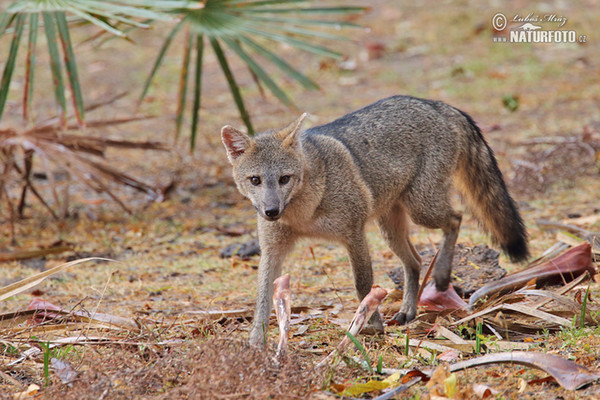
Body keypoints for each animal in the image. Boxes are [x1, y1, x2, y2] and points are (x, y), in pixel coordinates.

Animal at [221, 95, 528, 346]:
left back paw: (441, 275)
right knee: (415, 261)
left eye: (284, 179)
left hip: (422, 210)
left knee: (455, 219)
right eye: (255, 180)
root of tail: (436, 104)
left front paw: (371, 325)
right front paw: (256, 341)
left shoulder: (354, 234)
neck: (304, 215)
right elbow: (262, 296)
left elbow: (364, 286)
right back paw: (408, 310)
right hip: (390, 229)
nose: (271, 211)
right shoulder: (272, 250)